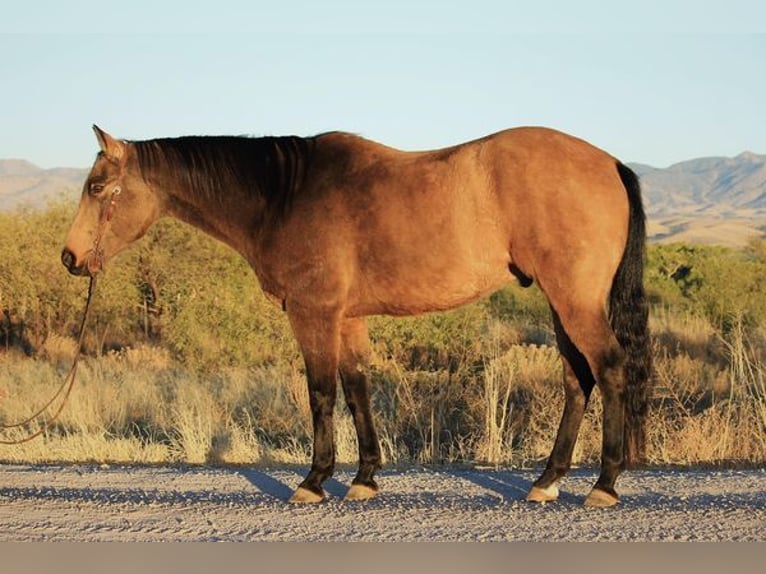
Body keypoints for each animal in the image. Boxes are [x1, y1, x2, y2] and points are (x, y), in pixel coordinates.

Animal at [63, 126, 652, 508]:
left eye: (97, 187)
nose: (70, 258)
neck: (285, 196)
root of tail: (610, 164)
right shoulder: (347, 319)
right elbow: (356, 388)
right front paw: (365, 478)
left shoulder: (313, 314)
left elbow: (321, 393)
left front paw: (314, 480)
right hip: (561, 302)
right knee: (577, 379)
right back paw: (547, 481)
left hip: (574, 300)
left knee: (608, 368)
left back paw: (603, 485)